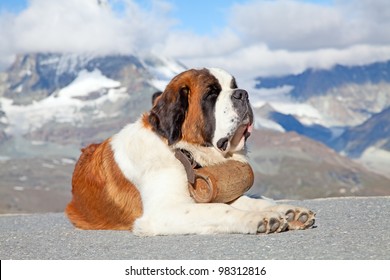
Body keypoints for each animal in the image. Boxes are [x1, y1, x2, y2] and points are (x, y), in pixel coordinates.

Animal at [66, 68, 316, 236]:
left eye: (234, 85)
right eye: (211, 94)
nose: (243, 93)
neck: (183, 152)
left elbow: (246, 200)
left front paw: (289, 212)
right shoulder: (163, 212)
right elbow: (218, 209)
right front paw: (258, 218)